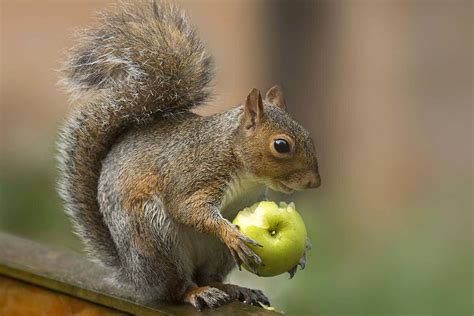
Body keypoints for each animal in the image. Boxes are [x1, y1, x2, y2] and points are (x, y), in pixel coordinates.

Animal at [57, 0, 320, 312]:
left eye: (308, 134)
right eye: (281, 145)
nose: (314, 182)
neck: (234, 156)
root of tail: (135, 277)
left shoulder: (251, 199)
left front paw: (302, 252)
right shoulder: (196, 173)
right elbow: (187, 209)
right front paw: (231, 233)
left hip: (216, 254)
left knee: (209, 276)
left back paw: (236, 288)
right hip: (153, 236)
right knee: (176, 288)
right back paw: (197, 292)